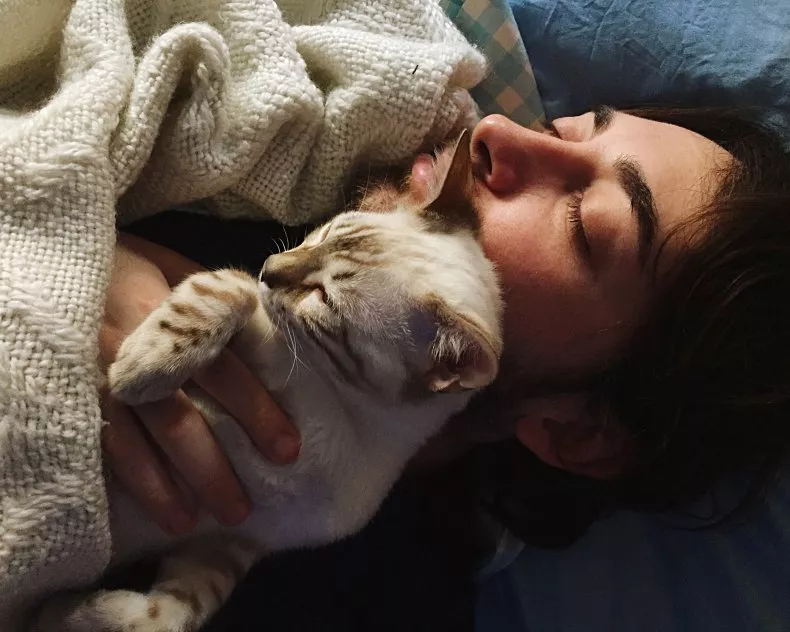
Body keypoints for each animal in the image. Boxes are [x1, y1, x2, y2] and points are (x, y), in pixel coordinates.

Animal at [31, 130, 504, 632]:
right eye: (322, 235)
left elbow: (166, 618)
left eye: (323, 298)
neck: (345, 415)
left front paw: (60, 611)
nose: (270, 267)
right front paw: (137, 371)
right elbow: (224, 290)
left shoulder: (229, 540)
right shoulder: (250, 310)